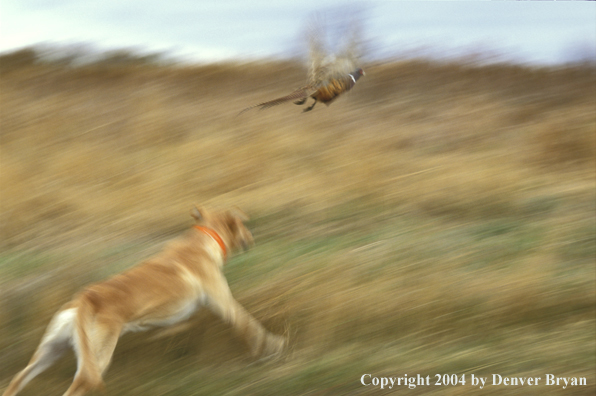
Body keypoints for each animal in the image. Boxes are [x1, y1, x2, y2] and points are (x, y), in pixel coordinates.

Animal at [2, 207, 286, 396]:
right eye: (244, 225)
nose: (251, 239)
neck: (203, 240)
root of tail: (85, 297)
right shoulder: (226, 304)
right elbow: (252, 326)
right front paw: (273, 347)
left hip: (50, 352)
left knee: (16, 379)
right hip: (96, 360)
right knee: (76, 387)